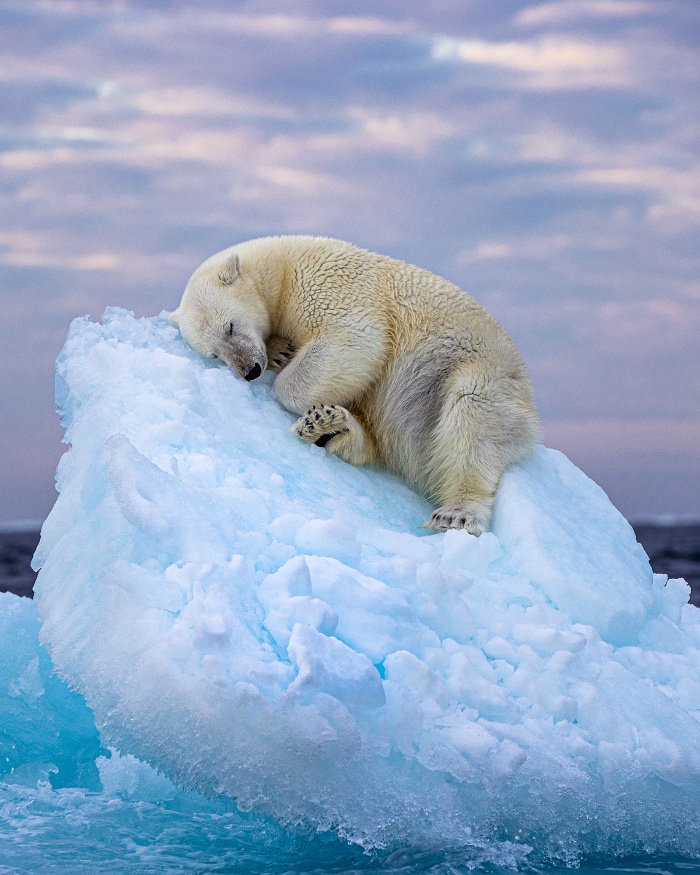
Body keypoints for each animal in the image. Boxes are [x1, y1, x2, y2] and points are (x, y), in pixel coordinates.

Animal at [170, 236, 539, 534]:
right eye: (215, 354)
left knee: (471, 418)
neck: (283, 268)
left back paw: (457, 513)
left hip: (474, 373)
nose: (250, 370)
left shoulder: (331, 286)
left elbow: (356, 339)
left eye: (230, 326)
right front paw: (281, 352)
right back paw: (330, 427)